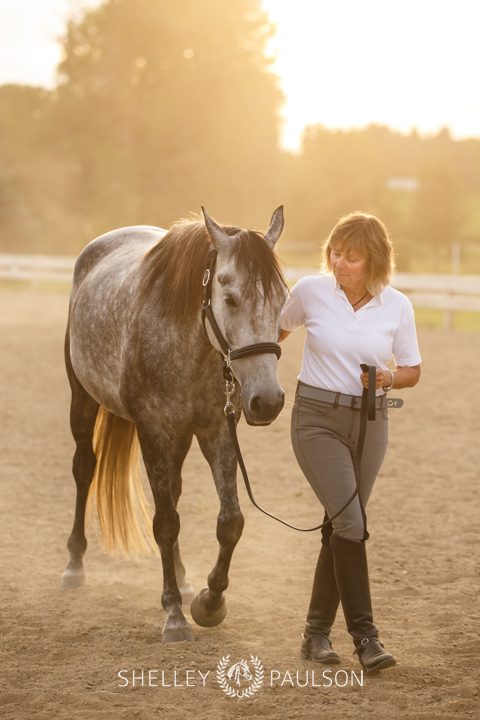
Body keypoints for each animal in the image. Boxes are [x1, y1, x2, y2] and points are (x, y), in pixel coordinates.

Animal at [59, 207, 284, 640]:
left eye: (283, 300)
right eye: (229, 298)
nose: (268, 401)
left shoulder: (218, 432)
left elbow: (230, 521)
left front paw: (210, 602)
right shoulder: (152, 431)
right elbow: (164, 522)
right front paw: (175, 614)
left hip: (180, 437)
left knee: (174, 492)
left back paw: (181, 577)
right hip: (82, 399)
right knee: (84, 470)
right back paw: (74, 566)